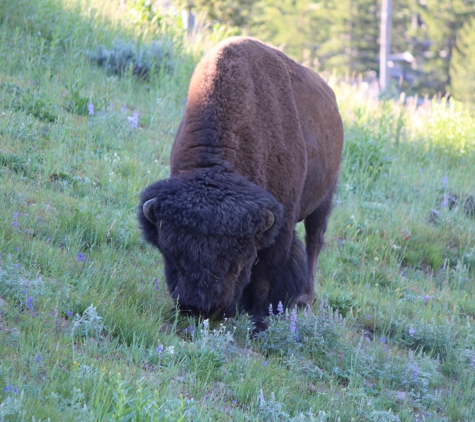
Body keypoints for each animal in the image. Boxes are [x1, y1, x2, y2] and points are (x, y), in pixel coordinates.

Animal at [139, 36, 344, 332]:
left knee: (315, 240)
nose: (201, 309)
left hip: (324, 199)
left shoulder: (278, 228)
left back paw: (305, 298)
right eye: (170, 255)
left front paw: (259, 322)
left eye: (238, 262)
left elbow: (265, 278)